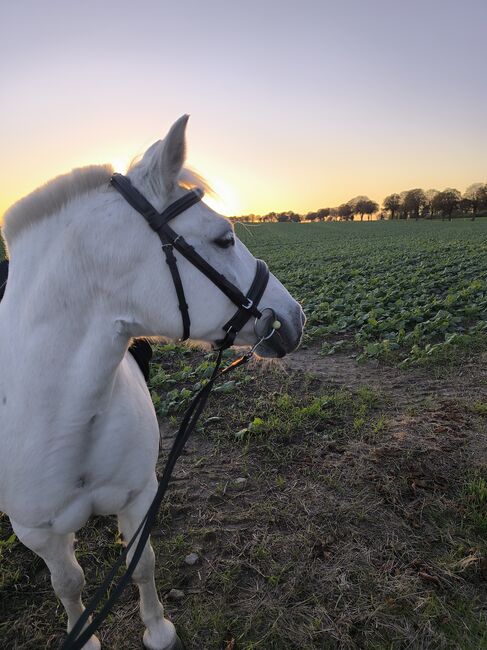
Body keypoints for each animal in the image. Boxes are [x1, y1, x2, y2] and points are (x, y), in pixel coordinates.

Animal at [0, 117, 304, 648]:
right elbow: (68, 582)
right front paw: (85, 635)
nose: (294, 317)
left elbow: (140, 563)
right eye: (224, 239)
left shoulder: (140, 494)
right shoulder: (37, 532)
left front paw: (158, 631)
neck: (61, 415)